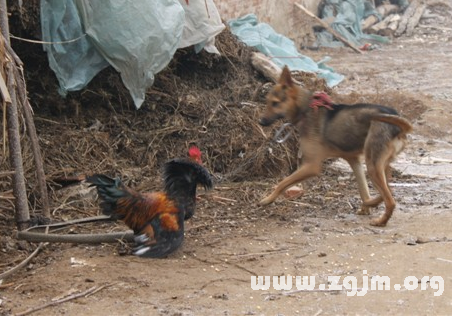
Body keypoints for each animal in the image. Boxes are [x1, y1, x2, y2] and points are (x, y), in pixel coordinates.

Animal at [256, 66, 412, 227]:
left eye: (275, 103)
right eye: (267, 102)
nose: (260, 122)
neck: (305, 110)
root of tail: (399, 125)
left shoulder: (311, 166)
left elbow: (282, 183)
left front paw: (267, 199)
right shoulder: (353, 160)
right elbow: (363, 191)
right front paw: (366, 207)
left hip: (373, 165)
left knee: (391, 200)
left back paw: (381, 221)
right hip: (378, 163)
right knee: (389, 188)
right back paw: (375, 203)